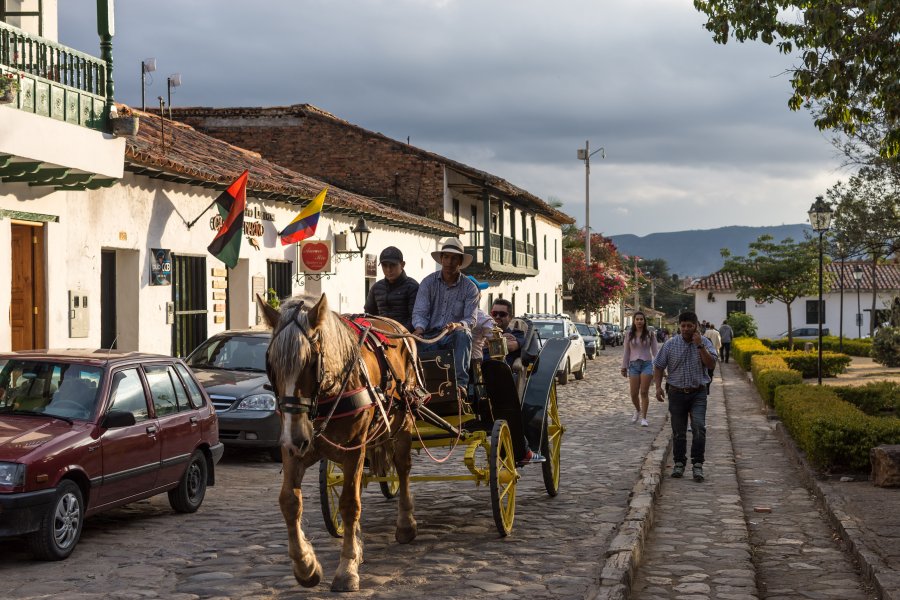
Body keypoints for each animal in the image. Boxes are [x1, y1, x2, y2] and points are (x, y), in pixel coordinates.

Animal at [256, 292, 418, 592]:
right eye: (270, 364)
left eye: (311, 362)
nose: (297, 437)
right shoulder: (293, 449)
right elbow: (289, 502)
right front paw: (306, 565)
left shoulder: (355, 448)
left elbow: (350, 504)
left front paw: (347, 569)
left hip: (403, 423)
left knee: (402, 468)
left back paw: (405, 524)